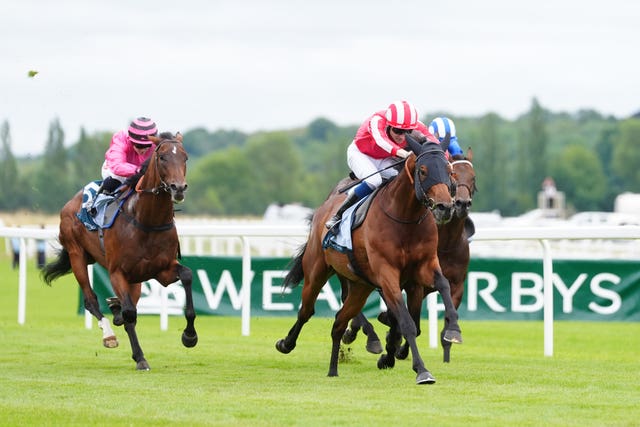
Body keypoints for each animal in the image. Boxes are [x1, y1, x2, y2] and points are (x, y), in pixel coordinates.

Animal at [41, 134, 196, 372]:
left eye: (185, 157)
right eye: (162, 157)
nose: (178, 187)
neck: (147, 220)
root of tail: (71, 203)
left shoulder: (163, 270)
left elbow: (187, 276)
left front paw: (189, 336)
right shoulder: (117, 272)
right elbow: (130, 313)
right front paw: (140, 358)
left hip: (136, 279)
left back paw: (115, 307)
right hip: (77, 255)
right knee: (91, 300)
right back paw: (109, 334)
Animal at [276, 140, 460, 384]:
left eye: (449, 171)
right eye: (423, 170)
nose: (445, 207)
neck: (406, 219)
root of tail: (323, 209)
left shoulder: (424, 267)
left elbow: (443, 285)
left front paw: (453, 329)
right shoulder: (387, 274)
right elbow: (406, 323)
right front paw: (421, 370)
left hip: (360, 287)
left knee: (339, 321)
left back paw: (333, 369)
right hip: (316, 271)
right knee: (306, 310)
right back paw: (286, 344)